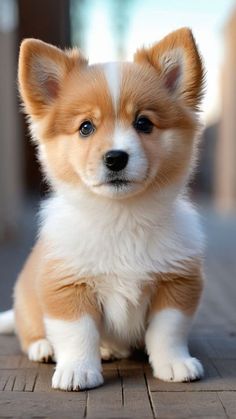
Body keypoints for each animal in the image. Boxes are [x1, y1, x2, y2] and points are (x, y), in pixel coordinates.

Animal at [0, 27, 205, 392]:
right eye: (86, 127)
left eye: (144, 123)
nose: (115, 158)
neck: (121, 216)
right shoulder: (66, 286)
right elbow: (77, 334)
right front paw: (78, 371)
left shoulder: (177, 283)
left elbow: (167, 332)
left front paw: (174, 364)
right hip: (25, 298)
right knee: (30, 331)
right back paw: (44, 347)